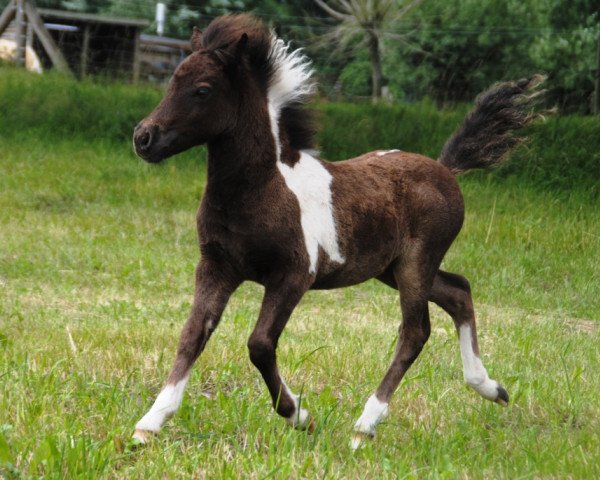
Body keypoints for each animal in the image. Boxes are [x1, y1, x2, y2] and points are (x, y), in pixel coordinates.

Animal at [131, 15, 544, 450]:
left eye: (202, 90)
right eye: (171, 81)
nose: (144, 138)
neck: (262, 189)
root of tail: (445, 168)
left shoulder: (294, 275)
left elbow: (259, 345)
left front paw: (299, 416)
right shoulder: (216, 267)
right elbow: (193, 334)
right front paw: (150, 423)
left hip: (417, 263)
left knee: (416, 331)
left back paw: (365, 425)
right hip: (392, 268)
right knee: (459, 291)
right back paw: (490, 388)